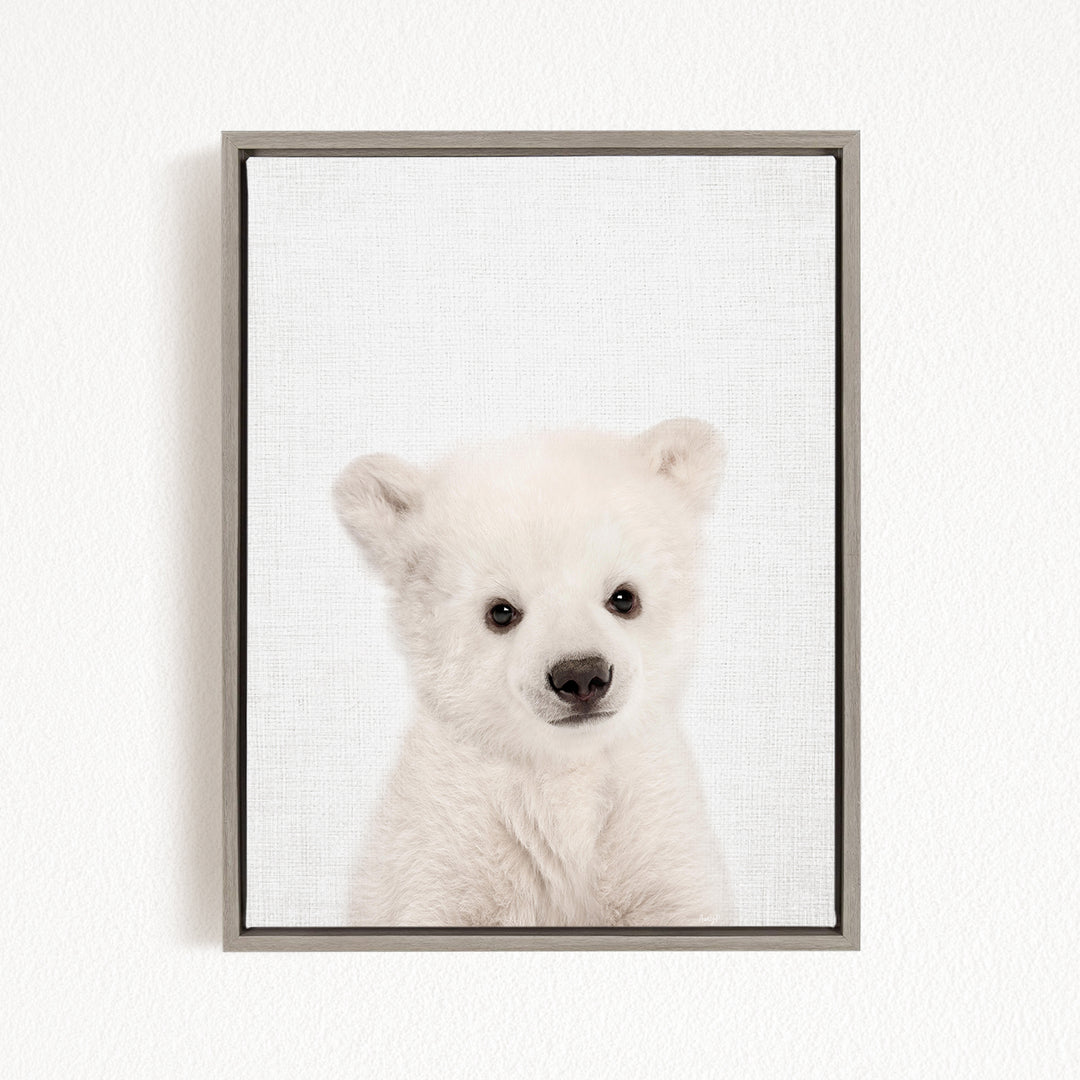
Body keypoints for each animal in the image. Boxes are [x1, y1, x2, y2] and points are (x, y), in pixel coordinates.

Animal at [334, 418, 727, 927]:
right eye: (501, 611)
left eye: (624, 597)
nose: (581, 675)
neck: (562, 767)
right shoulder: (446, 833)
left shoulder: (651, 820)